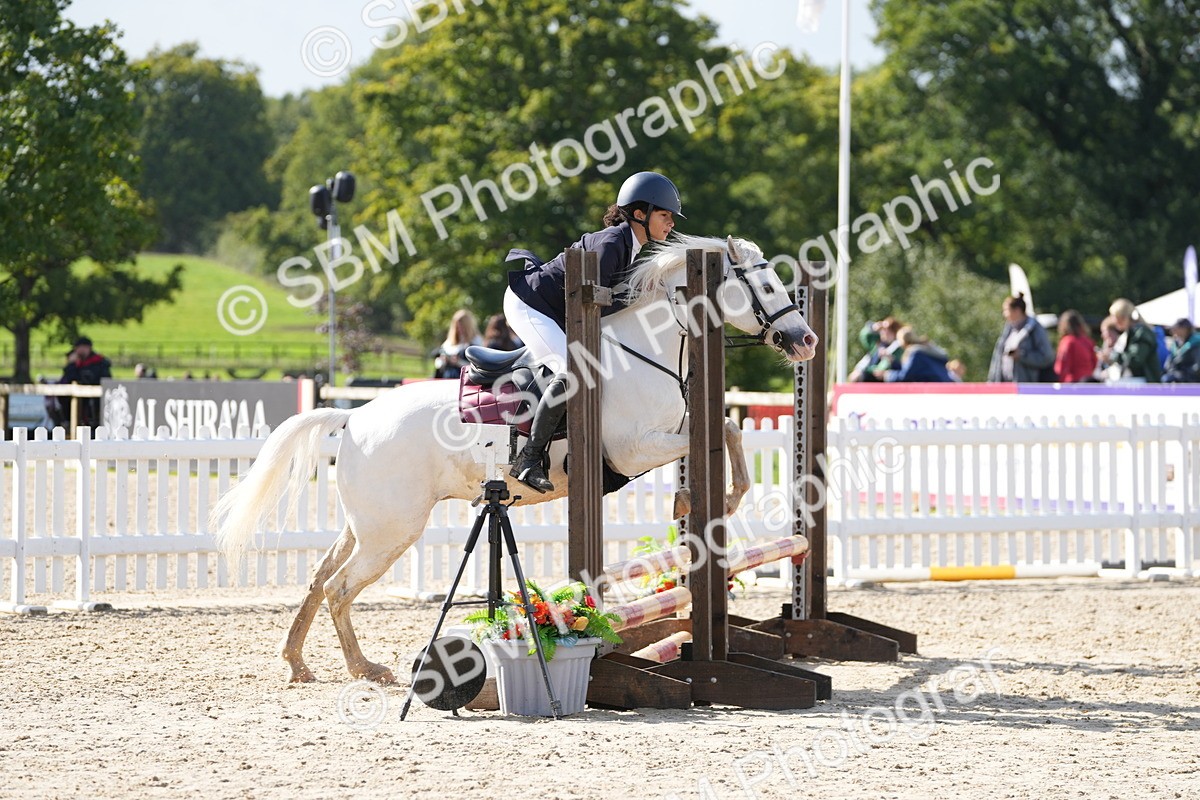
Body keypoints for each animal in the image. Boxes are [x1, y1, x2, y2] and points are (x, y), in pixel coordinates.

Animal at [212, 234, 818, 684]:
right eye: (765, 282)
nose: (805, 339)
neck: (645, 352)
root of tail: (355, 418)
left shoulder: (663, 436)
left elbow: (726, 428)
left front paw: (707, 497)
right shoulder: (634, 449)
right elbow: (717, 433)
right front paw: (708, 498)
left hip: (367, 524)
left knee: (320, 579)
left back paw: (298, 662)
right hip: (392, 530)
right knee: (339, 589)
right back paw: (365, 668)